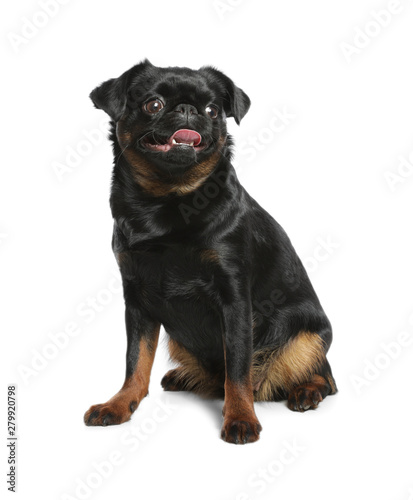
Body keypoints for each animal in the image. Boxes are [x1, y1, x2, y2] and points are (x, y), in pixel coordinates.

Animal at [83, 59, 334, 446]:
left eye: (213, 111)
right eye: (153, 104)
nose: (188, 110)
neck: (168, 201)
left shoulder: (235, 300)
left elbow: (239, 369)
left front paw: (241, 417)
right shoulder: (136, 300)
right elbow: (135, 360)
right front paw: (121, 403)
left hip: (308, 337)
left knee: (322, 375)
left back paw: (306, 391)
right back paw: (186, 377)